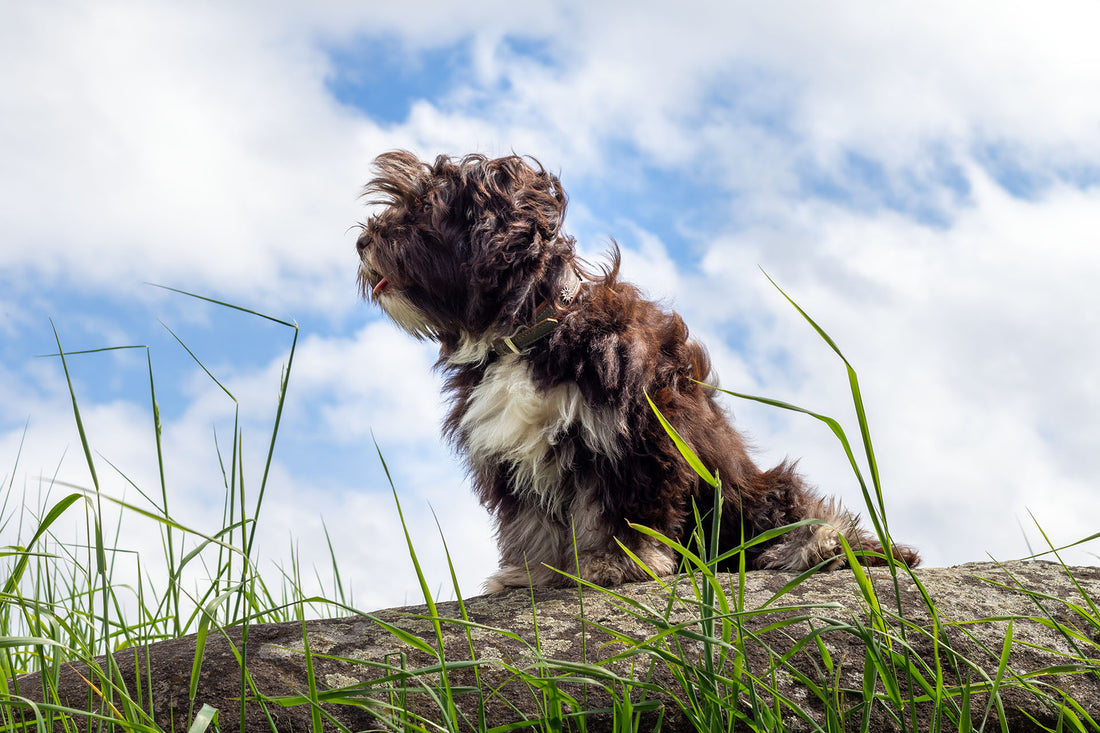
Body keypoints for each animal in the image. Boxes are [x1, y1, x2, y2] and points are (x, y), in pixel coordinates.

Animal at [354, 150, 919, 589]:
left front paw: (615, 564)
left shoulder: (634, 438)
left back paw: (826, 546)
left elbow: (624, 511)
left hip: (752, 491)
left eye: (423, 211)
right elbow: (532, 523)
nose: (362, 243)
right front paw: (533, 574)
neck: (534, 329)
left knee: (804, 513)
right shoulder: (516, 456)